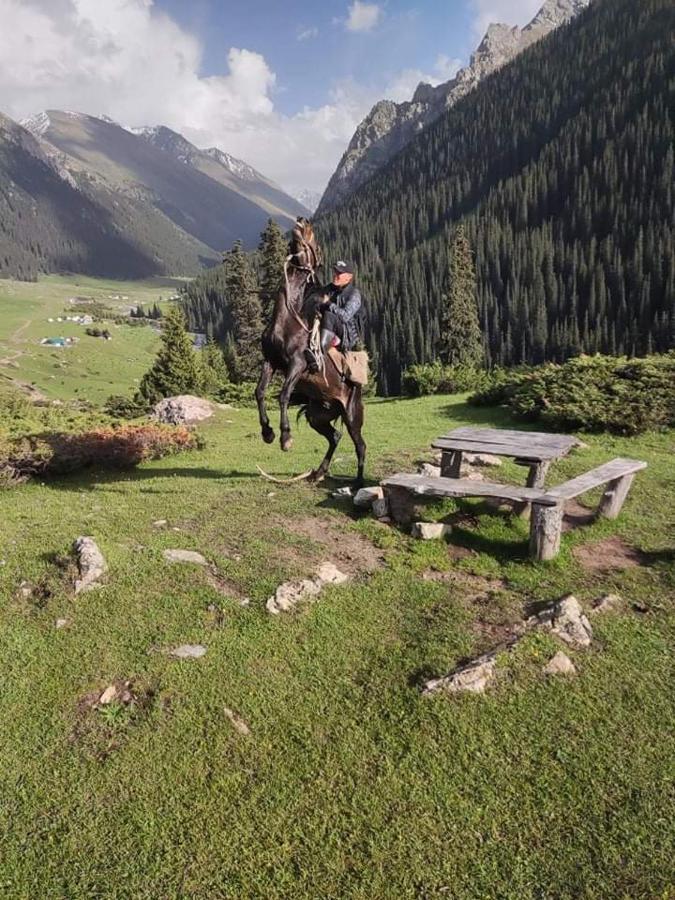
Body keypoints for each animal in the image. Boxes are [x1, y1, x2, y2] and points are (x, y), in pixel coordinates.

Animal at [256, 216, 368, 486]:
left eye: (314, 242)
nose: (302, 220)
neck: (287, 322)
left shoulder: (297, 364)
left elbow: (283, 395)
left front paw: (285, 438)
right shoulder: (270, 362)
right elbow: (260, 392)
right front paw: (267, 432)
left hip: (352, 415)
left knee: (360, 444)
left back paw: (358, 482)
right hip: (318, 415)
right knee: (335, 436)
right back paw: (319, 472)